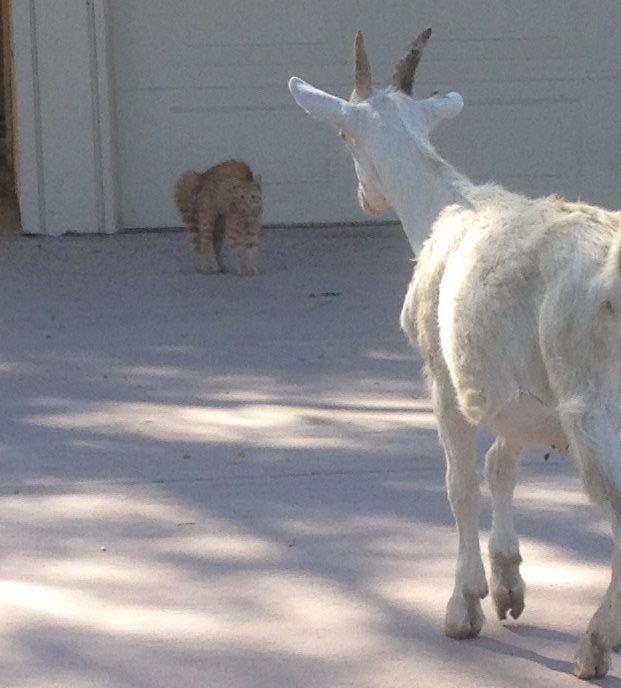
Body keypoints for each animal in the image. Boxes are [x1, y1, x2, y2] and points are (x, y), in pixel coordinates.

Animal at [288, 29, 621, 679]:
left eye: (343, 135)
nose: (364, 199)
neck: (451, 205)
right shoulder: (511, 390)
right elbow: (500, 463)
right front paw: (509, 583)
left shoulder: (442, 375)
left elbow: (459, 481)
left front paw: (464, 604)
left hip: (593, 408)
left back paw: (594, 644)